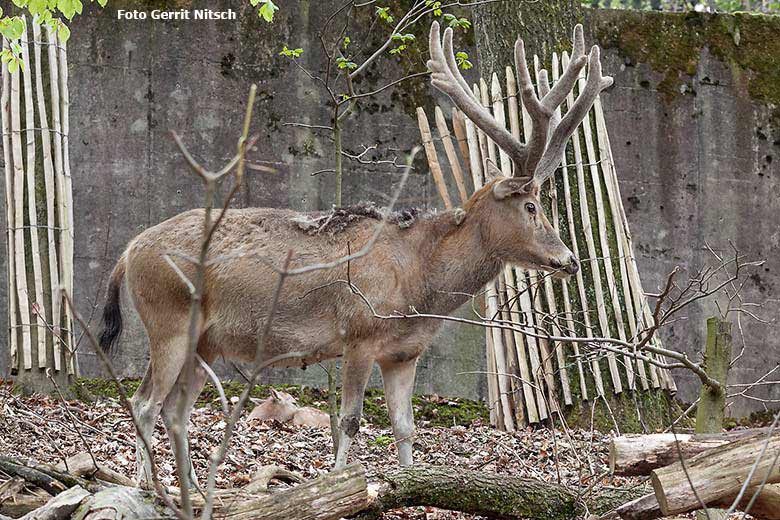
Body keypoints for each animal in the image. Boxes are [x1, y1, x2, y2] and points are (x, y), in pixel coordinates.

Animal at [97, 21, 608, 488]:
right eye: (531, 206)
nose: (569, 259)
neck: (419, 285)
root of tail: (127, 253)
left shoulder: (404, 353)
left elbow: (405, 427)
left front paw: (411, 486)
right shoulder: (359, 334)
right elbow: (349, 421)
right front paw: (339, 486)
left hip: (206, 342)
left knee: (175, 410)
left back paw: (191, 488)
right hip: (168, 320)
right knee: (144, 404)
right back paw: (149, 487)